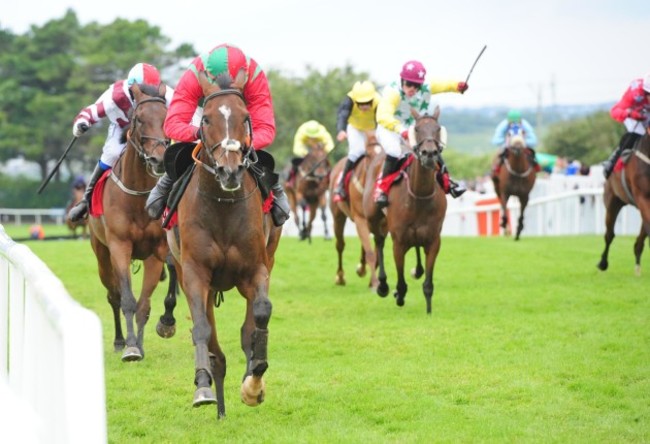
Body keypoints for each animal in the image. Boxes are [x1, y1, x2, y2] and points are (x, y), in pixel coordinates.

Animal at [87, 83, 177, 360]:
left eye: (166, 118)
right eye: (139, 119)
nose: (159, 159)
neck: (138, 198)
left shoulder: (157, 251)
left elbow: (144, 303)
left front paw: (145, 339)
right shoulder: (119, 247)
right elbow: (126, 299)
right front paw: (130, 347)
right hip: (102, 253)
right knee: (113, 295)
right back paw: (119, 340)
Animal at [165, 67, 280, 418]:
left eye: (246, 117)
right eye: (206, 119)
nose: (230, 171)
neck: (223, 205)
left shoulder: (256, 269)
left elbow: (260, 315)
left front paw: (254, 382)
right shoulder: (194, 273)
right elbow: (202, 329)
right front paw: (203, 388)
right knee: (208, 334)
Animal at [332, 134, 382, 290]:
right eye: (368, 154)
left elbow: (375, 251)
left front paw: (373, 281)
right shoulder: (360, 218)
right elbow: (371, 252)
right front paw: (374, 283)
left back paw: (362, 268)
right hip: (338, 216)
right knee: (340, 245)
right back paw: (340, 277)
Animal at [360, 109, 446, 314]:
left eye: (438, 128)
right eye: (417, 129)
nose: (429, 153)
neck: (419, 196)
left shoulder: (434, 240)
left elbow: (428, 282)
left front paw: (429, 310)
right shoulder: (398, 242)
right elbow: (400, 281)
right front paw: (398, 294)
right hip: (374, 219)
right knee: (379, 243)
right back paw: (382, 285)